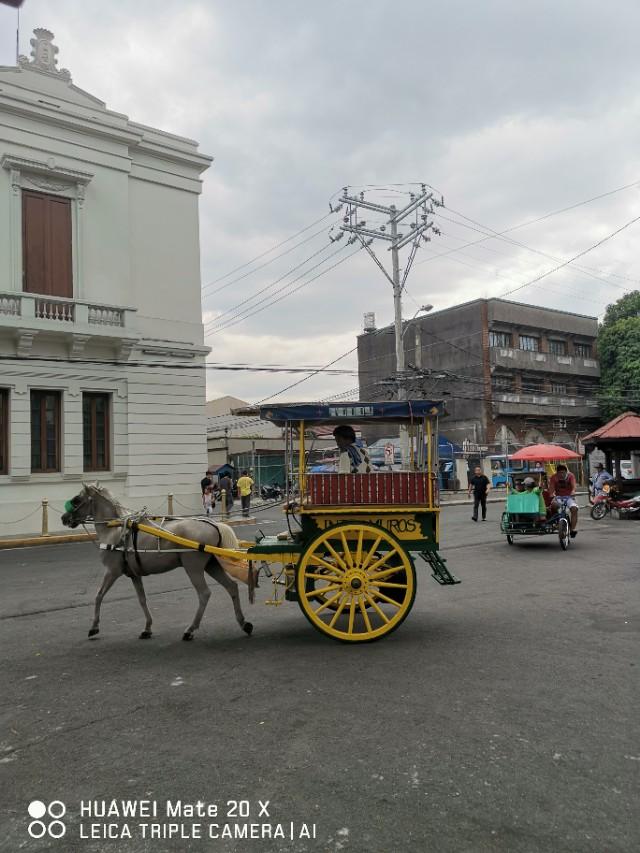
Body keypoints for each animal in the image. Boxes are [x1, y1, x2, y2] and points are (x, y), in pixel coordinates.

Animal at [61, 486, 254, 640]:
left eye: (76, 500)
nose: (64, 518)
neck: (115, 530)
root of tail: (213, 524)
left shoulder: (112, 571)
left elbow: (99, 595)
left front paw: (94, 626)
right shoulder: (134, 574)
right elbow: (142, 600)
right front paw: (147, 627)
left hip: (194, 567)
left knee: (204, 594)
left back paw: (190, 629)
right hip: (211, 565)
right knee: (231, 587)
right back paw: (243, 623)